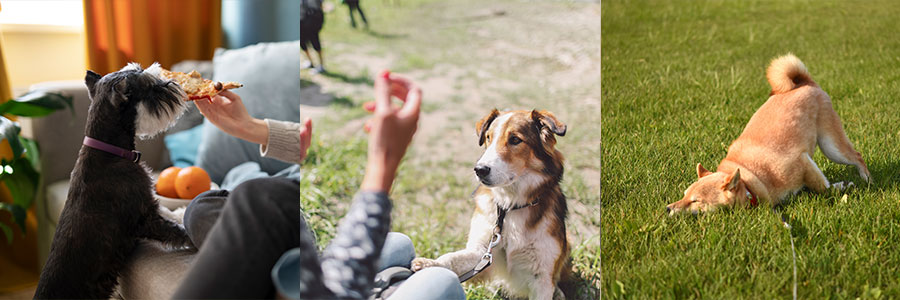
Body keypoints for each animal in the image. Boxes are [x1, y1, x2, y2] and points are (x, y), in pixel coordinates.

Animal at [34, 62, 193, 298]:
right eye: (150, 87)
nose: (174, 85)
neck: (109, 152)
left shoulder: (148, 203)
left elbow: (168, 212)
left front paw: (182, 212)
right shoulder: (144, 219)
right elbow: (177, 231)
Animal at [410, 110, 568, 300]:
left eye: (515, 139)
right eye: (488, 138)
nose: (479, 170)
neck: (510, 206)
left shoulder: (542, 276)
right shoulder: (482, 251)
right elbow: (451, 258)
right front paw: (429, 264)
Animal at [664, 52, 868, 214]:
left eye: (695, 201)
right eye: (684, 195)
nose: (667, 208)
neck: (748, 181)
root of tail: (805, 83)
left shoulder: (801, 161)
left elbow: (822, 187)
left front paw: (839, 187)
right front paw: (841, 185)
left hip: (831, 146)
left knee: (857, 156)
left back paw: (867, 180)